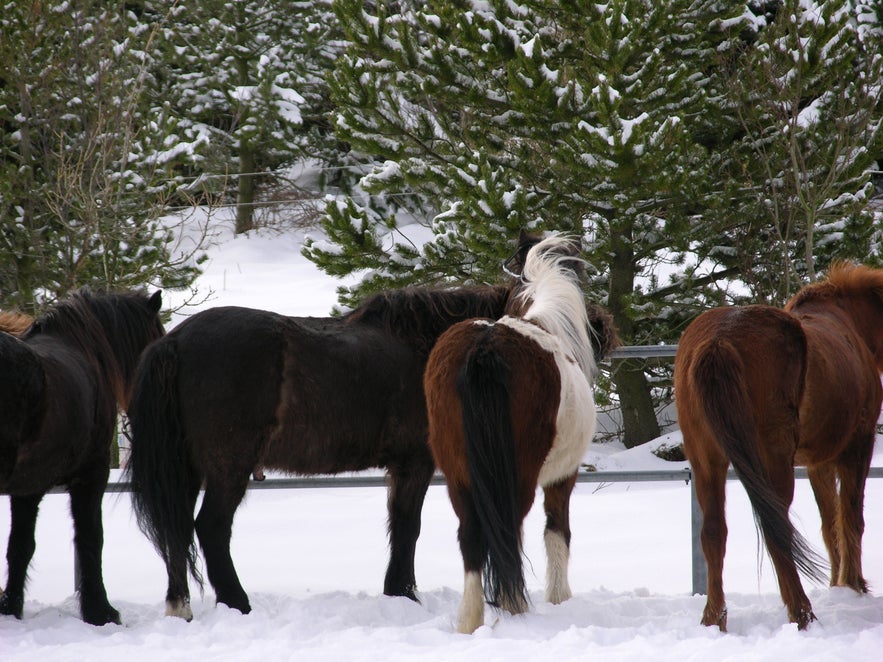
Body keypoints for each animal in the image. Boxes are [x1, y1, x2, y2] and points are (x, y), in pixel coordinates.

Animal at [0, 288, 164, 624]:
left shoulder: (28, 487)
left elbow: (20, 547)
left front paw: (10, 608)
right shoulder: (91, 476)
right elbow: (91, 539)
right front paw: (100, 610)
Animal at [128, 282, 520, 620]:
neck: (424, 346)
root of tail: (174, 341)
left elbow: (398, 523)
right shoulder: (415, 462)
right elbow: (408, 525)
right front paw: (404, 593)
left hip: (186, 468)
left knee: (178, 528)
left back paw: (181, 605)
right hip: (229, 467)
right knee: (211, 527)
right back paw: (238, 603)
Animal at [422, 236, 616, 636]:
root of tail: (484, 348)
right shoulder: (563, 476)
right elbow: (557, 531)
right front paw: (559, 598)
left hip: (458, 475)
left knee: (472, 536)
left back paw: (471, 619)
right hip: (519, 477)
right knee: (508, 530)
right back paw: (514, 607)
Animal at [676, 264, 883, 632]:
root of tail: (717, 342)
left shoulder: (817, 461)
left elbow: (830, 525)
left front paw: (839, 584)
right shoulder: (857, 446)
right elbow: (850, 518)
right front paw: (854, 586)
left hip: (705, 459)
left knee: (713, 533)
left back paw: (714, 620)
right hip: (773, 460)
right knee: (778, 531)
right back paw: (802, 615)